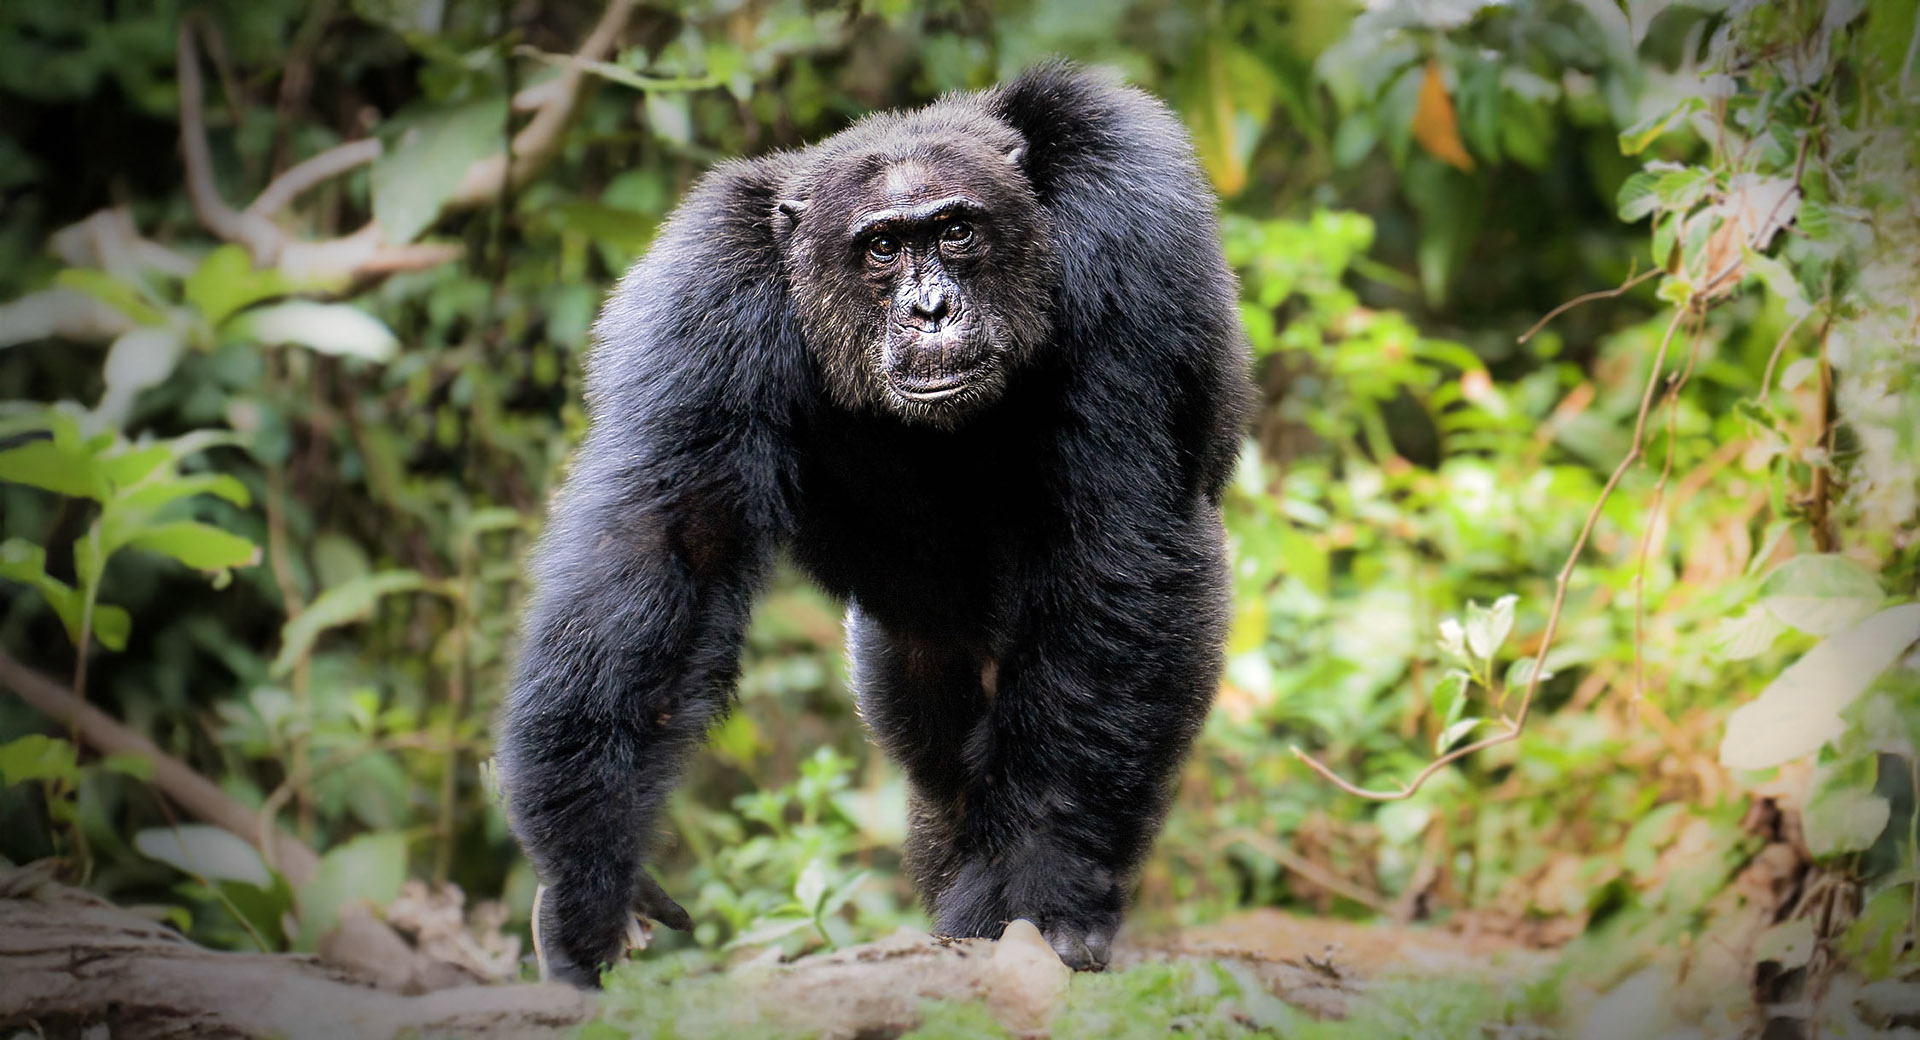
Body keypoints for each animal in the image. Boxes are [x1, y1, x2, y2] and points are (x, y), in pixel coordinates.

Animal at [496, 60, 1252, 988]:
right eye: (883, 248)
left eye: (956, 230)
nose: (930, 308)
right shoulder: (705, 297)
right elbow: (670, 540)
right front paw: (587, 881)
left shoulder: (1131, 218)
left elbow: (1113, 532)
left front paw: (1043, 889)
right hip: (897, 667)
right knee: (941, 770)